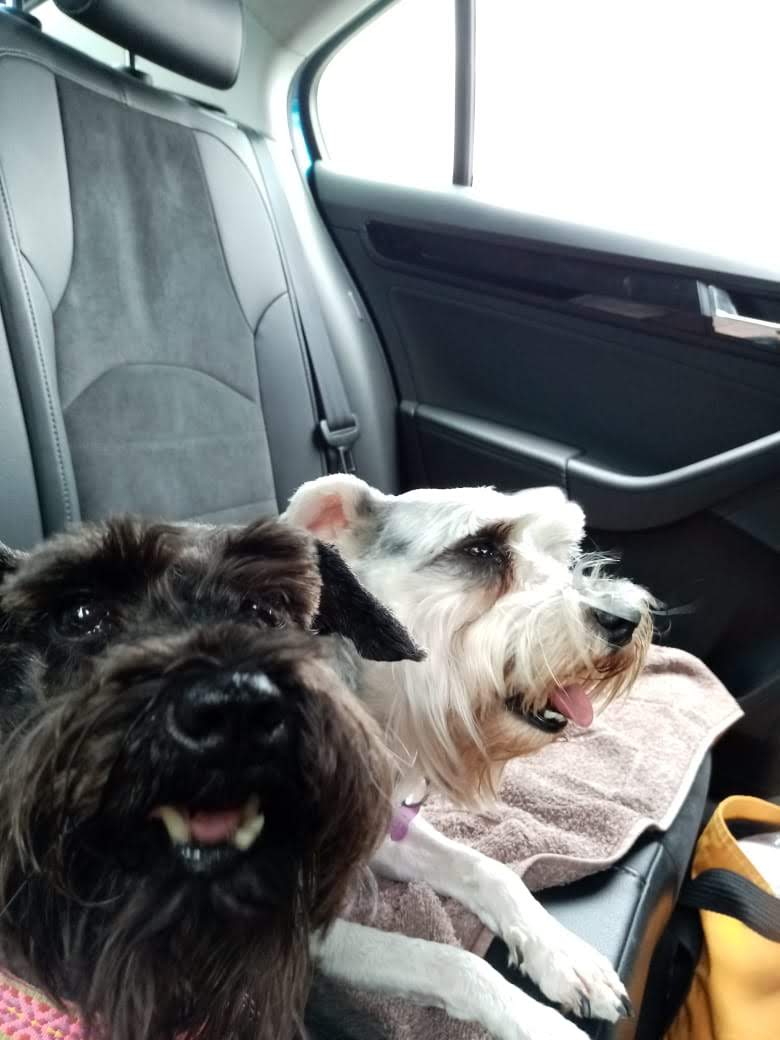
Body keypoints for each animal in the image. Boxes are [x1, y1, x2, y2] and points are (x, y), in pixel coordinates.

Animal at [287, 476, 655, 1040]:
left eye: (560, 551)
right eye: (481, 549)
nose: (625, 619)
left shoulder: (385, 827)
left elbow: (488, 870)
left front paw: (569, 958)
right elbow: (447, 960)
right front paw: (540, 1023)